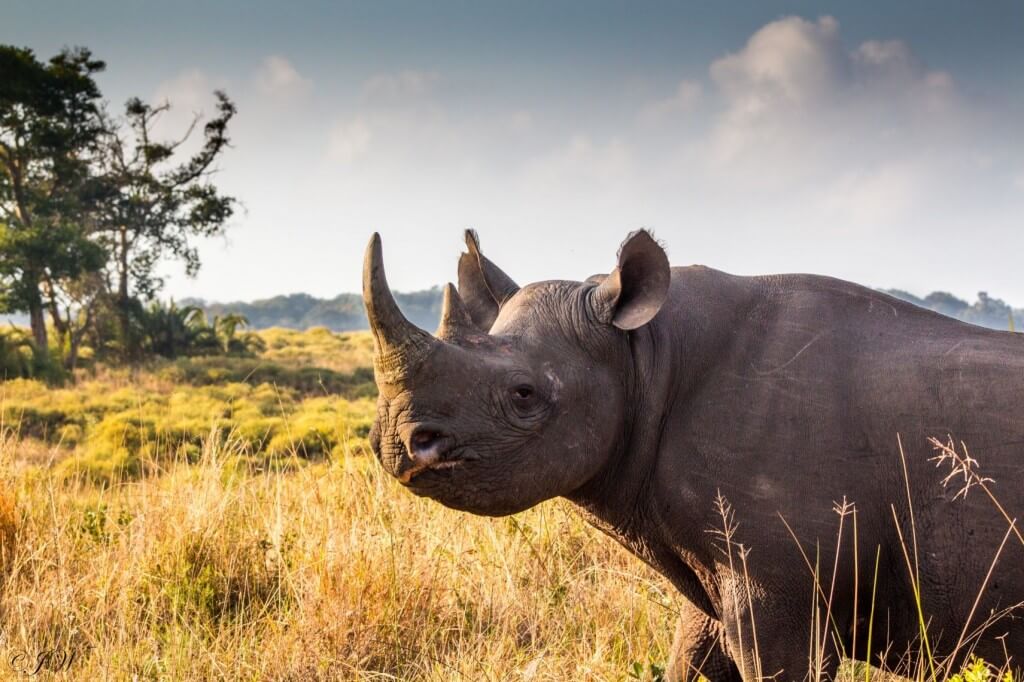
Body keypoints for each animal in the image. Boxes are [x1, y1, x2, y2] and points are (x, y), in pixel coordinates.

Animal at [363, 229, 1024, 680]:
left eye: (524, 395)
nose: (397, 443)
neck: (643, 354)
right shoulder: (718, 572)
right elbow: (689, 660)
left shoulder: (781, 588)